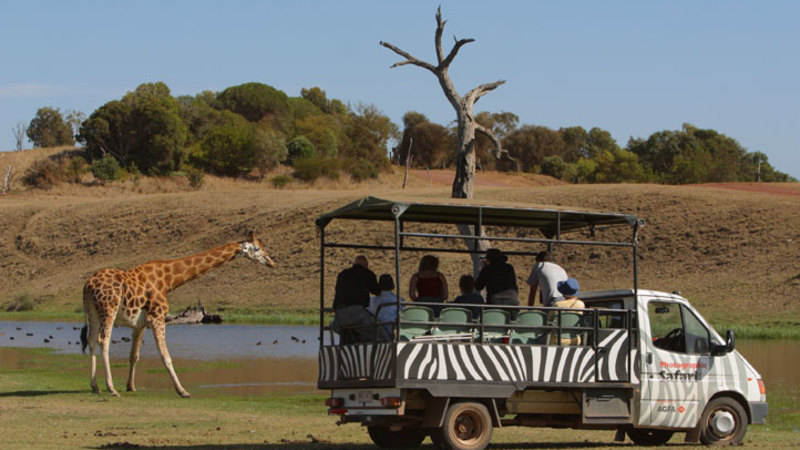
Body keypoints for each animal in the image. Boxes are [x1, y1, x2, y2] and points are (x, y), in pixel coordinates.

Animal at [81, 232, 276, 398]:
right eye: (257, 248)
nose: (271, 262)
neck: (169, 281)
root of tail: (88, 285)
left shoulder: (140, 323)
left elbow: (134, 356)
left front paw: (131, 386)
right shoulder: (158, 316)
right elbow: (166, 356)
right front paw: (182, 391)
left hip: (92, 311)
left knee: (91, 340)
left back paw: (95, 386)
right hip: (109, 309)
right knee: (104, 340)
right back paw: (111, 388)